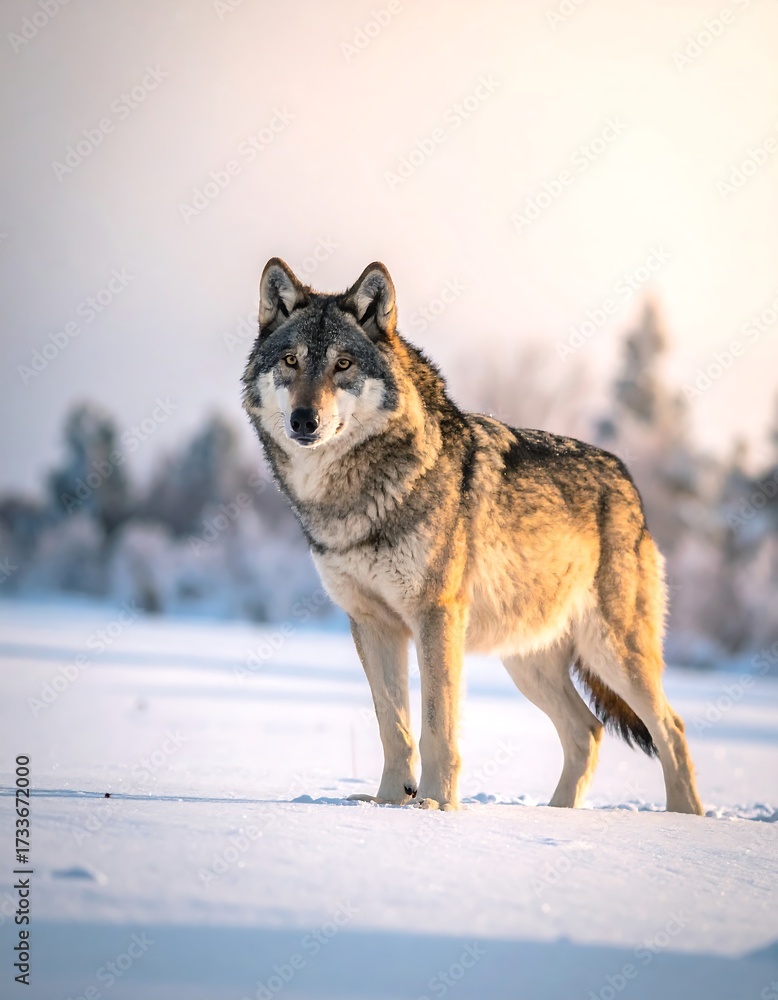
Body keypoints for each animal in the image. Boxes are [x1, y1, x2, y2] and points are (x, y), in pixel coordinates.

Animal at [242, 258, 704, 815]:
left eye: (344, 365)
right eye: (291, 360)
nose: (303, 420)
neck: (353, 495)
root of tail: (628, 481)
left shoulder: (436, 616)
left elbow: (437, 725)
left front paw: (436, 806)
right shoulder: (372, 624)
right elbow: (393, 727)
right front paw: (387, 804)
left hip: (612, 652)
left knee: (671, 729)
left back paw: (684, 821)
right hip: (528, 663)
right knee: (588, 731)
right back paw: (557, 815)